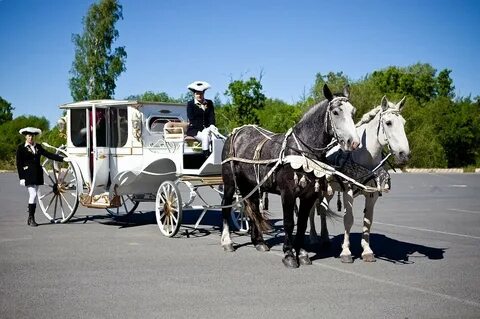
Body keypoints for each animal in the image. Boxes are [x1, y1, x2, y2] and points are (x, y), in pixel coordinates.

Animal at [219, 84, 358, 268]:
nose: (354, 142)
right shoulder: (288, 193)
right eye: (335, 112)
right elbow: (289, 222)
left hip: (250, 184)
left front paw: (303, 253)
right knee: (226, 207)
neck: (301, 151)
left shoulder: (309, 195)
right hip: (229, 182)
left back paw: (259, 242)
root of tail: (237, 132)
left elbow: (302, 222)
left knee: (253, 207)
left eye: (353, 112)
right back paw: (227, 241)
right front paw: (289, 254)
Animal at [312, 96, 408, 264]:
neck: (365, 156)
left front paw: (367, 251)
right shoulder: (348, 191)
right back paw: (312, 237)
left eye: (404, 123)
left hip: (329, 190)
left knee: (322, 208)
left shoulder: (372, 194)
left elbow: (368, 220)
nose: (404, 154)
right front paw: (345, 251)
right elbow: (348, 219)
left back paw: (324, 238)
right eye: (388, 123)